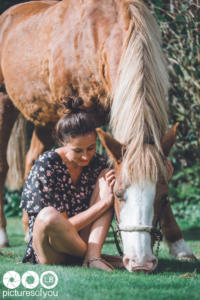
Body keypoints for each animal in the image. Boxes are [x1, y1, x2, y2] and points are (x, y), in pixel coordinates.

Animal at [0, 0, 194, 270]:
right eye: (118, 194)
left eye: (164, 197)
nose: (141, 261)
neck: (98, 32)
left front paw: (178, 244)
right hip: (5, 102)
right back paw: (4, 234)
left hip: (46, 118)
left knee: (33, 158)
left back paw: (29, 225)